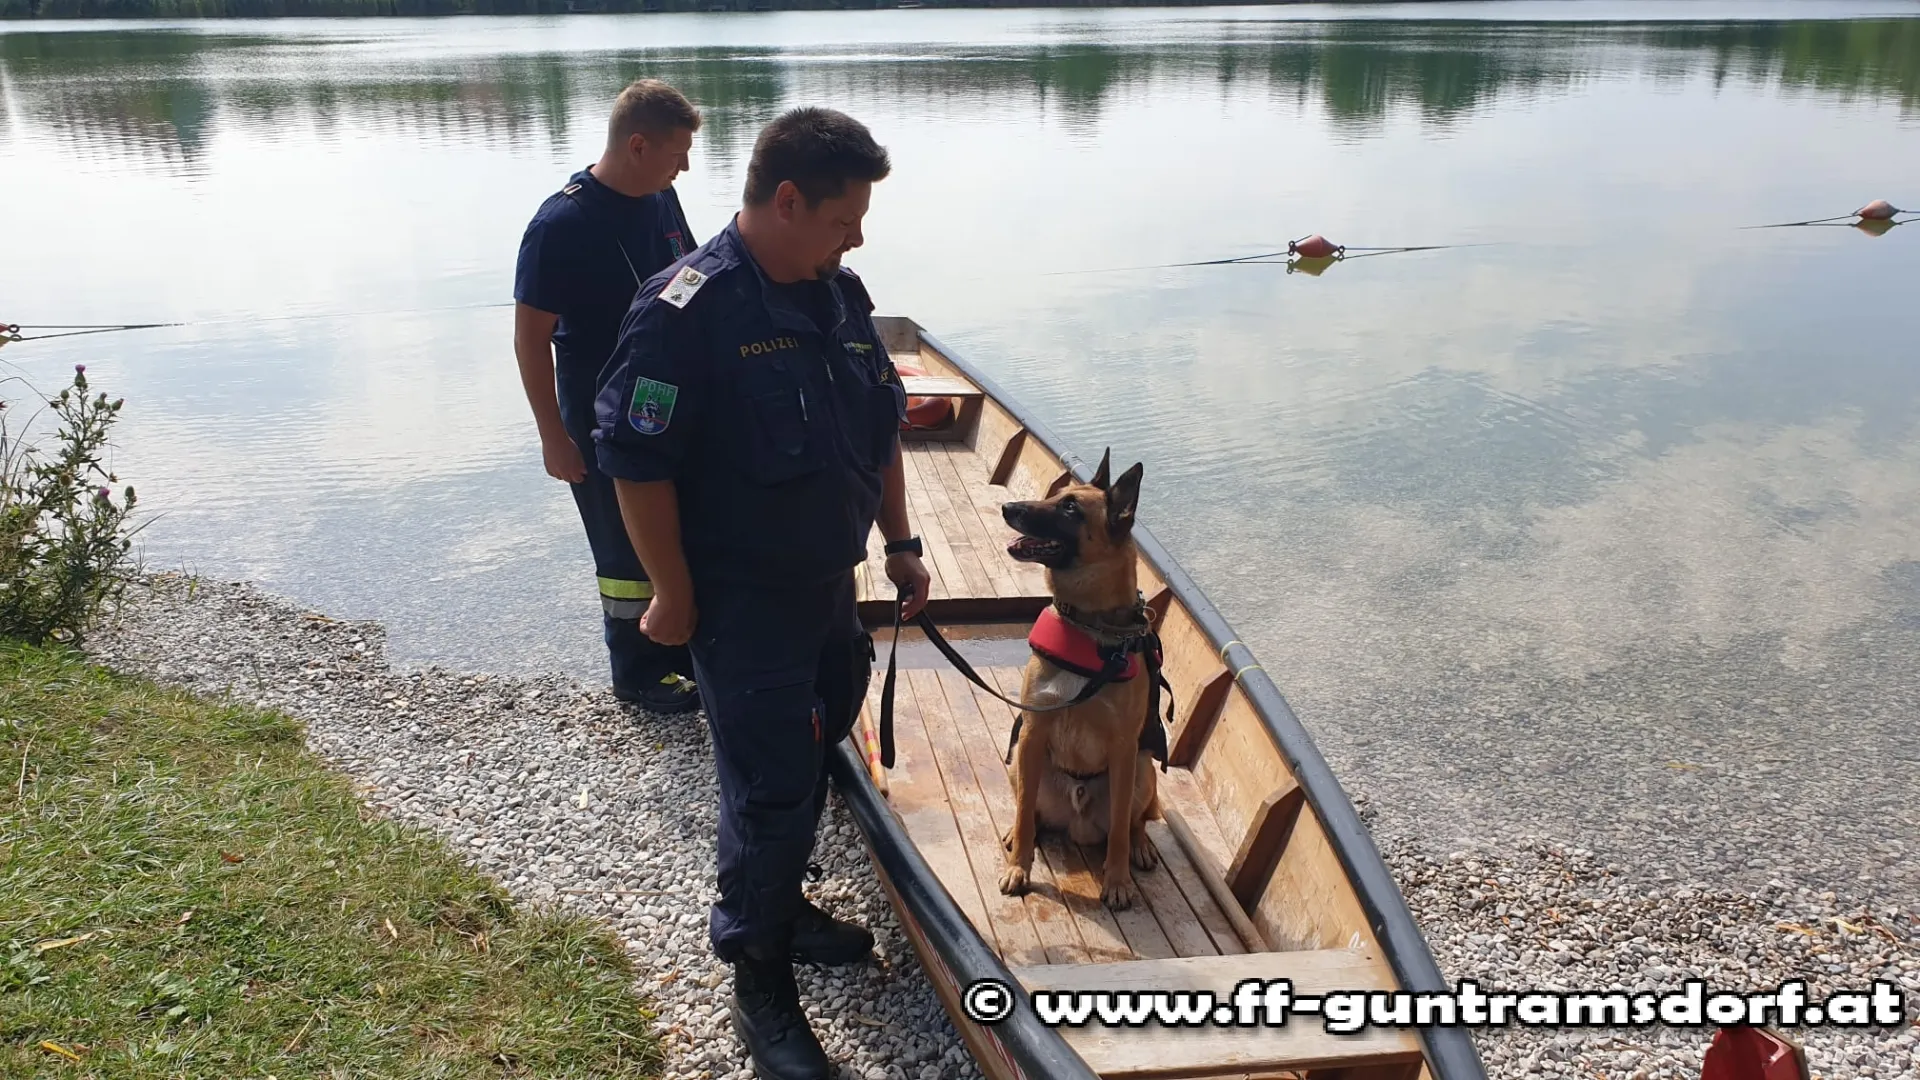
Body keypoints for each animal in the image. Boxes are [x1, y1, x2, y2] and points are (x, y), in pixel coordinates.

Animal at [997, 449, 1162, 910]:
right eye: (1055, 496)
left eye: (1070, 508)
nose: (1008, 508)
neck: (1088, 625)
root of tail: (1078, 820)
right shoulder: (1032, 733)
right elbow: (1024, 814)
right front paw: (1018, 867)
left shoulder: (1124, 750)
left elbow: (1121, 830)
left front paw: (1118, 881)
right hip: (1019, 762)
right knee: (1029, 809)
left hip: (1143, 770)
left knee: (1135, 821)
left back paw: (1141, 846)